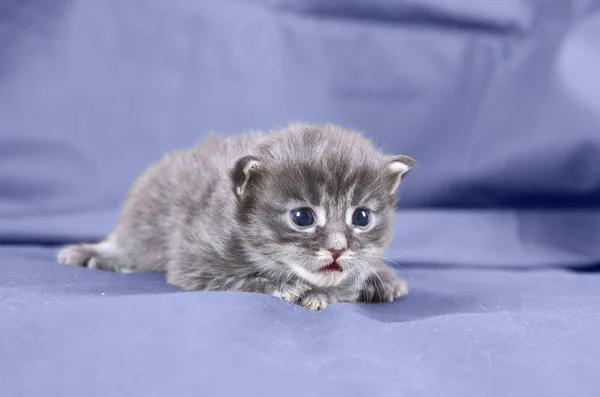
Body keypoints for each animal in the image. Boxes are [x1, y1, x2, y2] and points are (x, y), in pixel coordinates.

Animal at [57, 123, 412, 310]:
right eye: (302, 217)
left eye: (361, 218)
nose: (338, 248)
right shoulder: (193, 261)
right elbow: (236, 280)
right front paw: (279, 286)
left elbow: (346, 283)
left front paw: (324, 292)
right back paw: (93, 253)